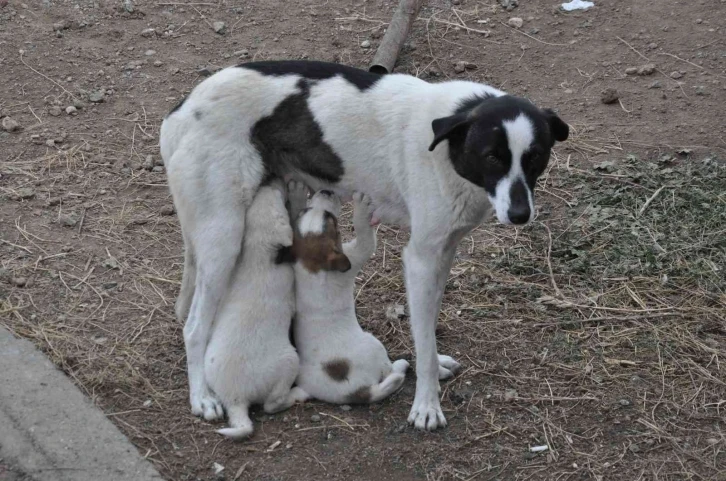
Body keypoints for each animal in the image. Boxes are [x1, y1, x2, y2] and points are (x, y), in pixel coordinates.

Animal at [205, 180, 304, 438]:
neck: (257, 254)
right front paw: (298, 195)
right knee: (272, 404)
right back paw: (298, 394)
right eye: (278, 195)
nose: (271, 179)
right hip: (289, 361)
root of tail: (235, 398)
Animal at [284, 180, 410, 404]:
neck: (310, 265)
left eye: (306, 211)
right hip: (373, 345)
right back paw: (401, 366)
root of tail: (356, 393)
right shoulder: (356, 254)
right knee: (388, 372)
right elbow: (365, 238)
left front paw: (296, 194)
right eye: (332, 219)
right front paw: (361, 208)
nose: (326, 191)